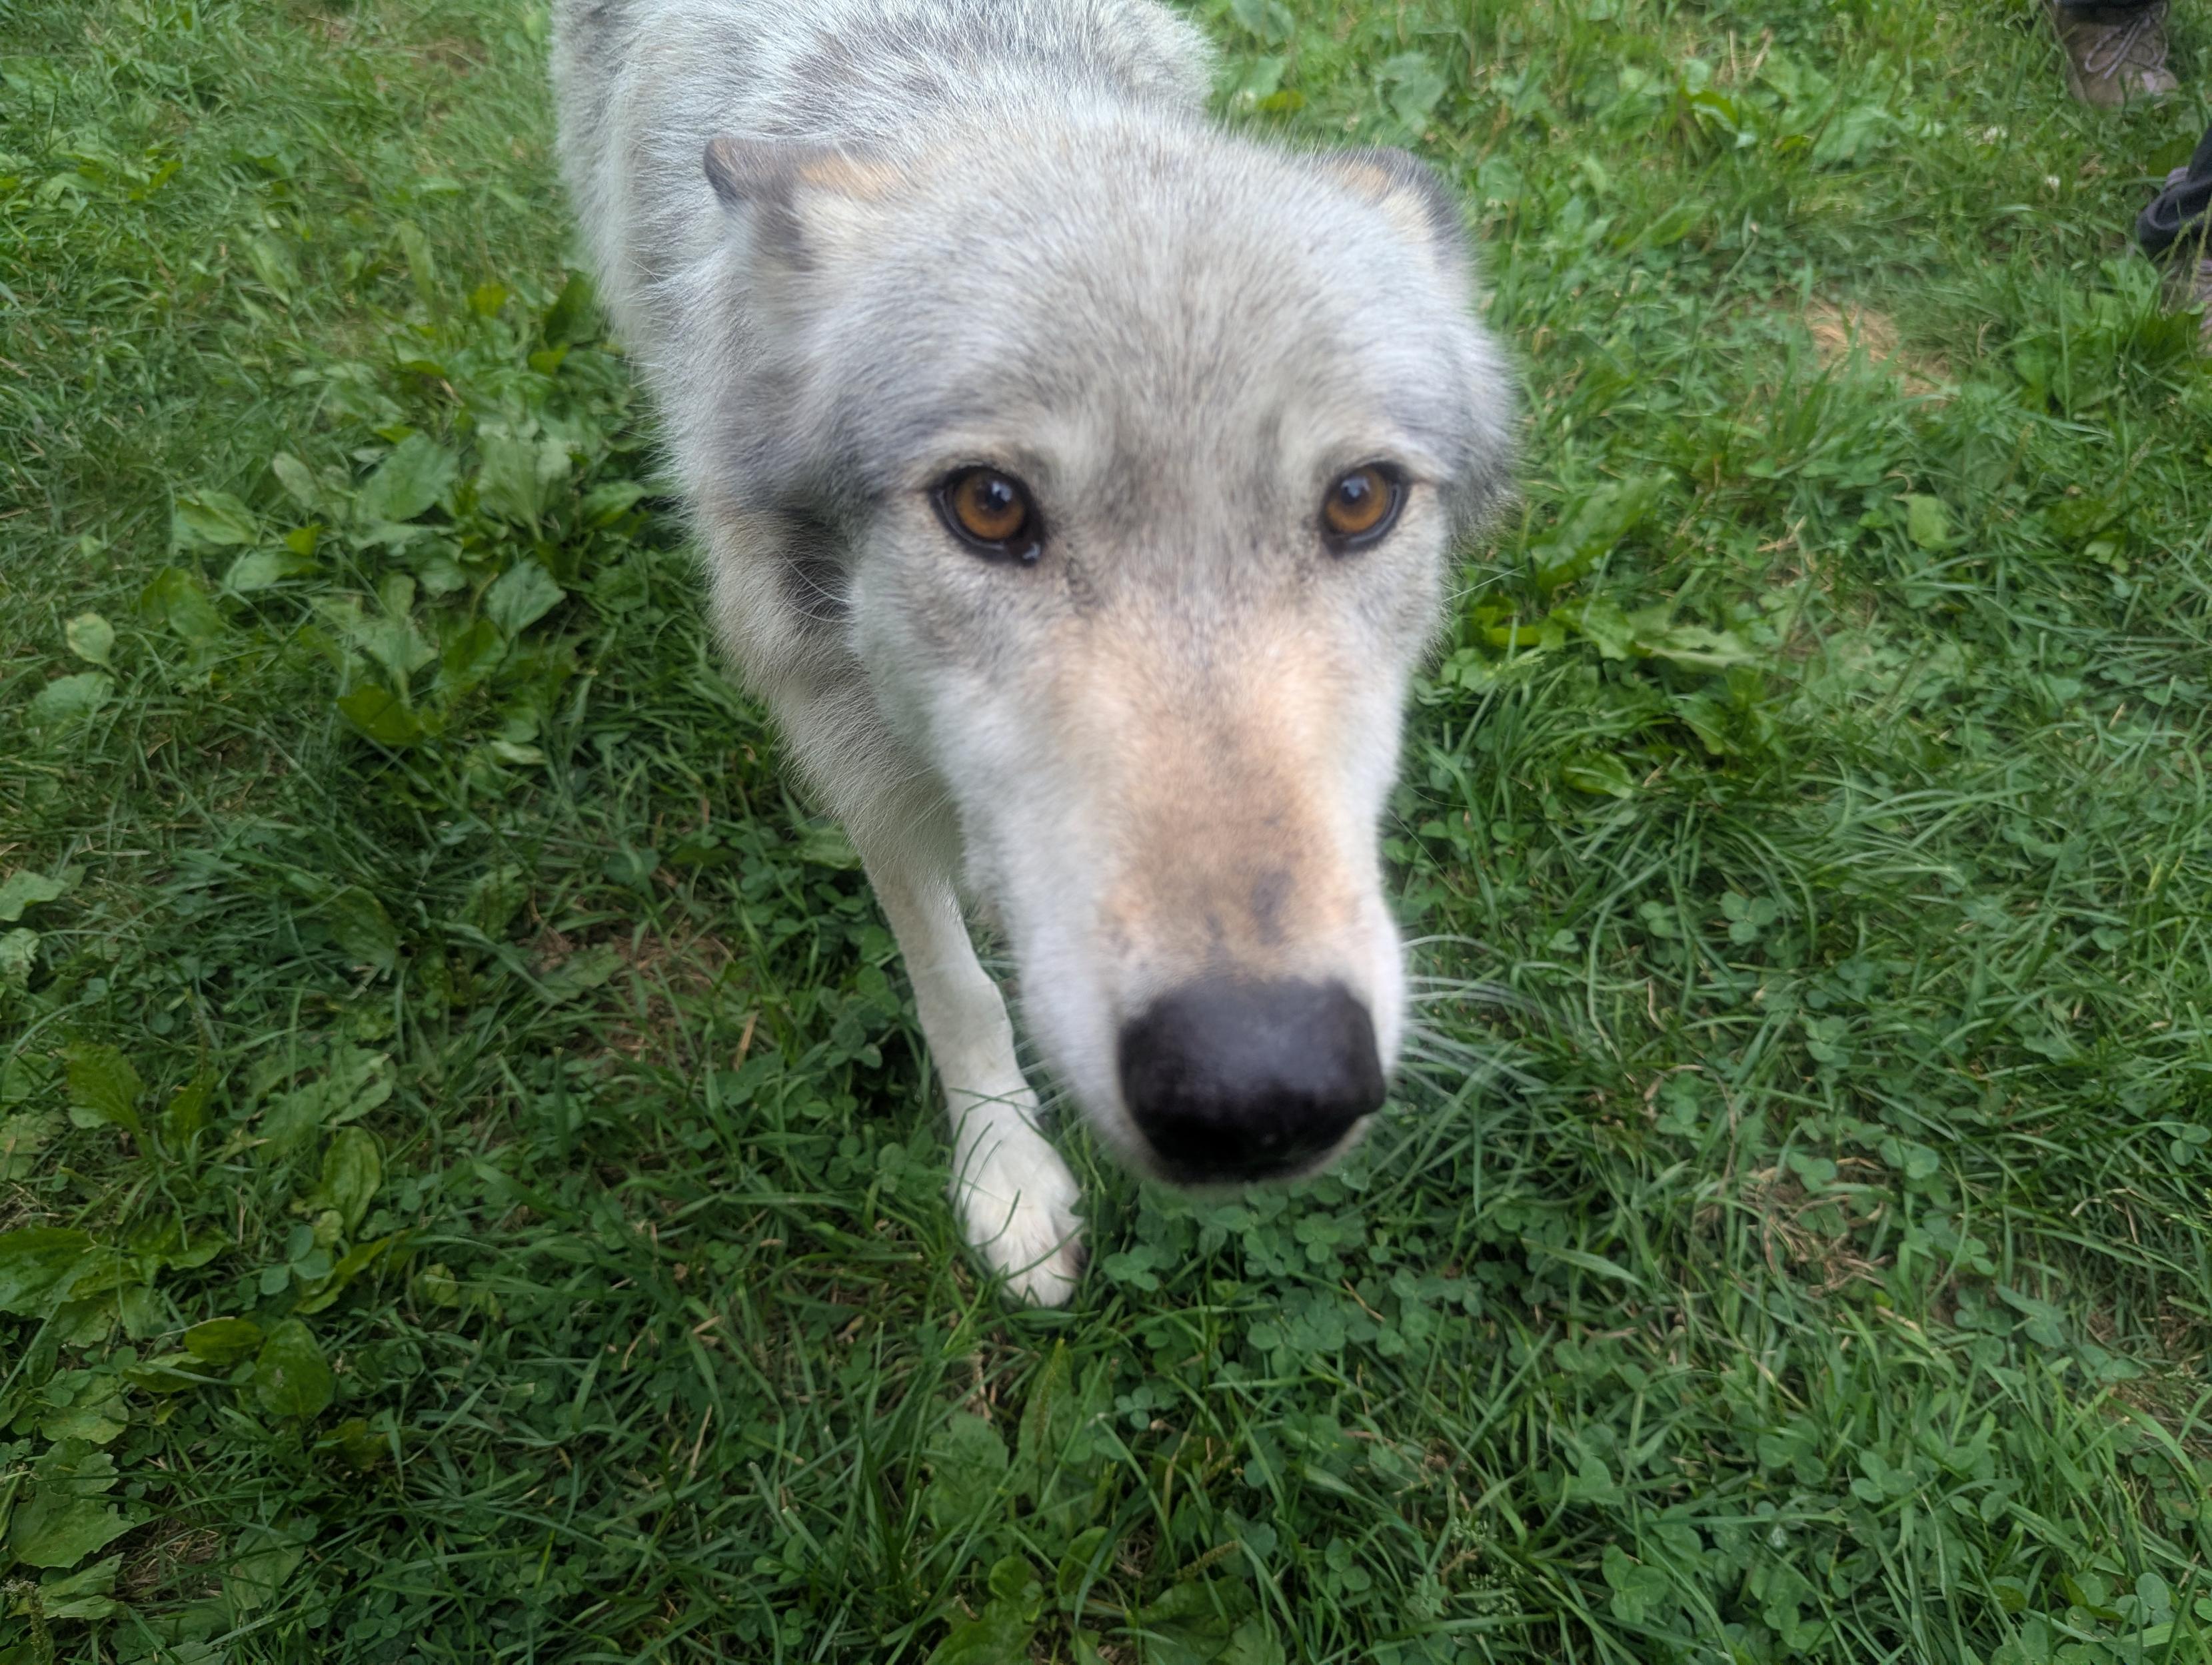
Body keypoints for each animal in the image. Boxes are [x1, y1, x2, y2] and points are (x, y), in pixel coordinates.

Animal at [550, 0, 1513, 1304]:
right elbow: (953, 986)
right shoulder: (848, 748)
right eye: (990, 505)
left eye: (1359, 500)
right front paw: (1005, 1172)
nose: (1261, 1079)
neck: (978, 91)